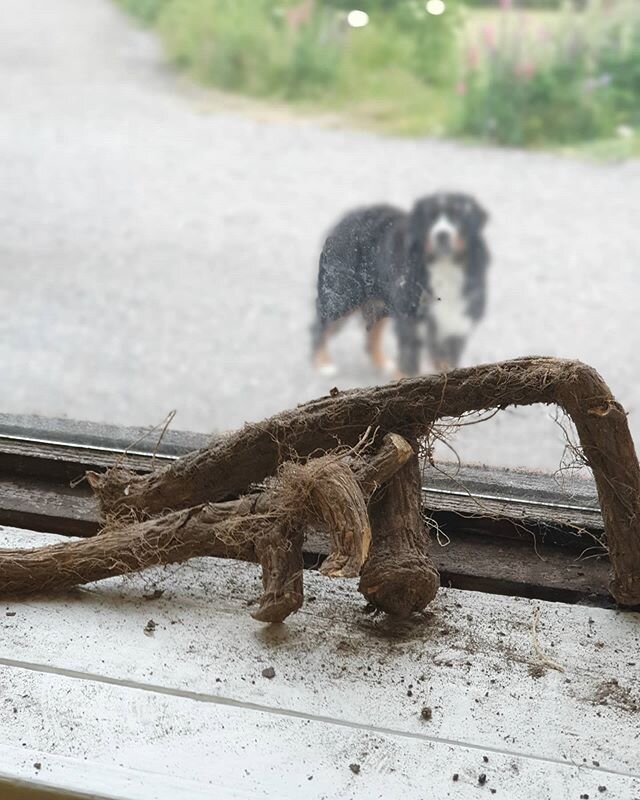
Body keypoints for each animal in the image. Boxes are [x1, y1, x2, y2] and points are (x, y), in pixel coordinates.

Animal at [312, 192, 490, 376]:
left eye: (458, 217)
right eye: (429, 219)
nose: (442, 235)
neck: (444, 267)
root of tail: (345, 219)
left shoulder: (456, 326)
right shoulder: (411, 324)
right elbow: (407, 365)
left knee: (373, 334)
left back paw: (382, 363)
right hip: (344, 295)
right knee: (321, 326)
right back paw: (323, 364)